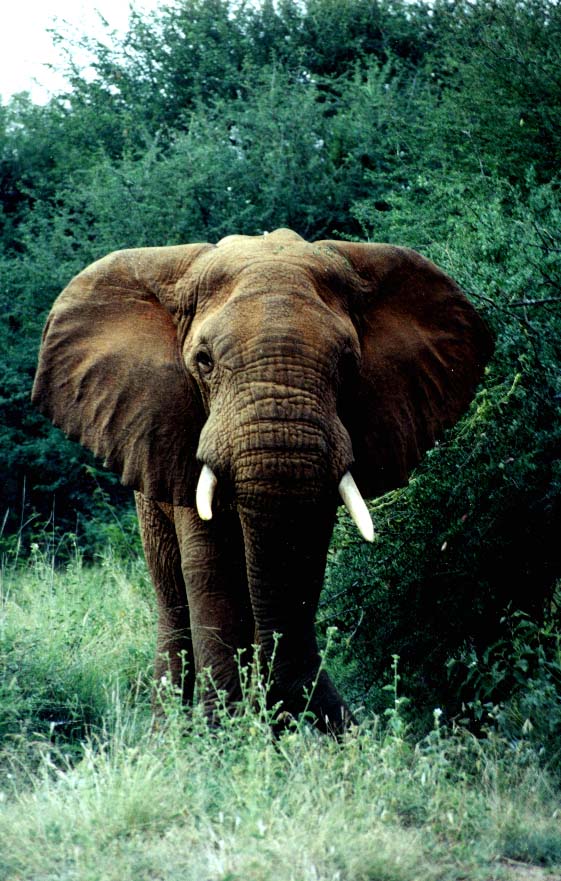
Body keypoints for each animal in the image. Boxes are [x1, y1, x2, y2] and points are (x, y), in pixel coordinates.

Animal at [32, 229, 492, 736]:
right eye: (204, 361)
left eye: (349, 363)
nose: (351, 728)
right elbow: (211, 570)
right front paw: (223, 736)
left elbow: (302, 563)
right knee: (172, 599)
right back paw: (169, 733)